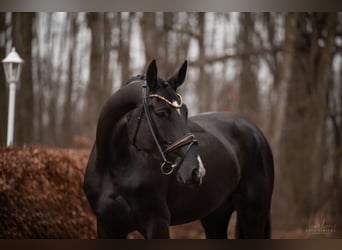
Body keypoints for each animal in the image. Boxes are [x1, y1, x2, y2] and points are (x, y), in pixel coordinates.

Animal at [83, 59, 272, 238]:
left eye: (186, 111)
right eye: (161, 112)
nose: (197, 171)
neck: (113, 166)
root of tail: (255, 131)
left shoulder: (157, 223)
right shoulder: (107, 227)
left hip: (253, 213)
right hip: (215, 215)